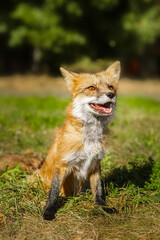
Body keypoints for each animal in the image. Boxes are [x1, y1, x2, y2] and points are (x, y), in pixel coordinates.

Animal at [35, 61, 120, 220]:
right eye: (91, 87)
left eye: (110, 87)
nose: (111, 95)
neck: (89, 138)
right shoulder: (62, 164)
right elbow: (54, 192)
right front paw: (49, 210)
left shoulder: (95, 163)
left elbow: (99, 190)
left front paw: (102, 207)